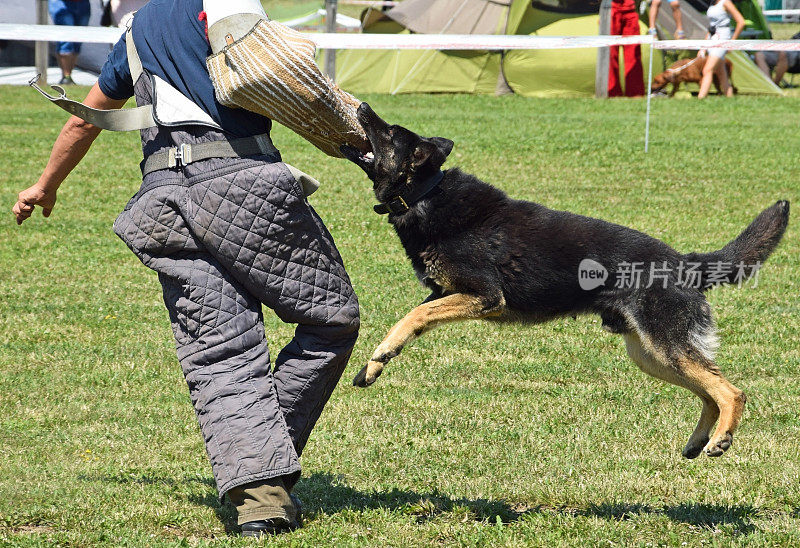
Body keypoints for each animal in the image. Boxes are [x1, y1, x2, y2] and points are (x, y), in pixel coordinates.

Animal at [340, 103, 792, 458]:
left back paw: (721, 438)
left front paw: (381, 353)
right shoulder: (446, 293)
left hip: (665, 347)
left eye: (389, 133)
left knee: (730, 391)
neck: (425, 194)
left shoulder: (484, 296)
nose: (361, 105)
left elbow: (415, 316)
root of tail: (685, 263)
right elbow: (412, 317)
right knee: (709, 389)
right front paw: (377, 362)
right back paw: (700, 440)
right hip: (652, 355)